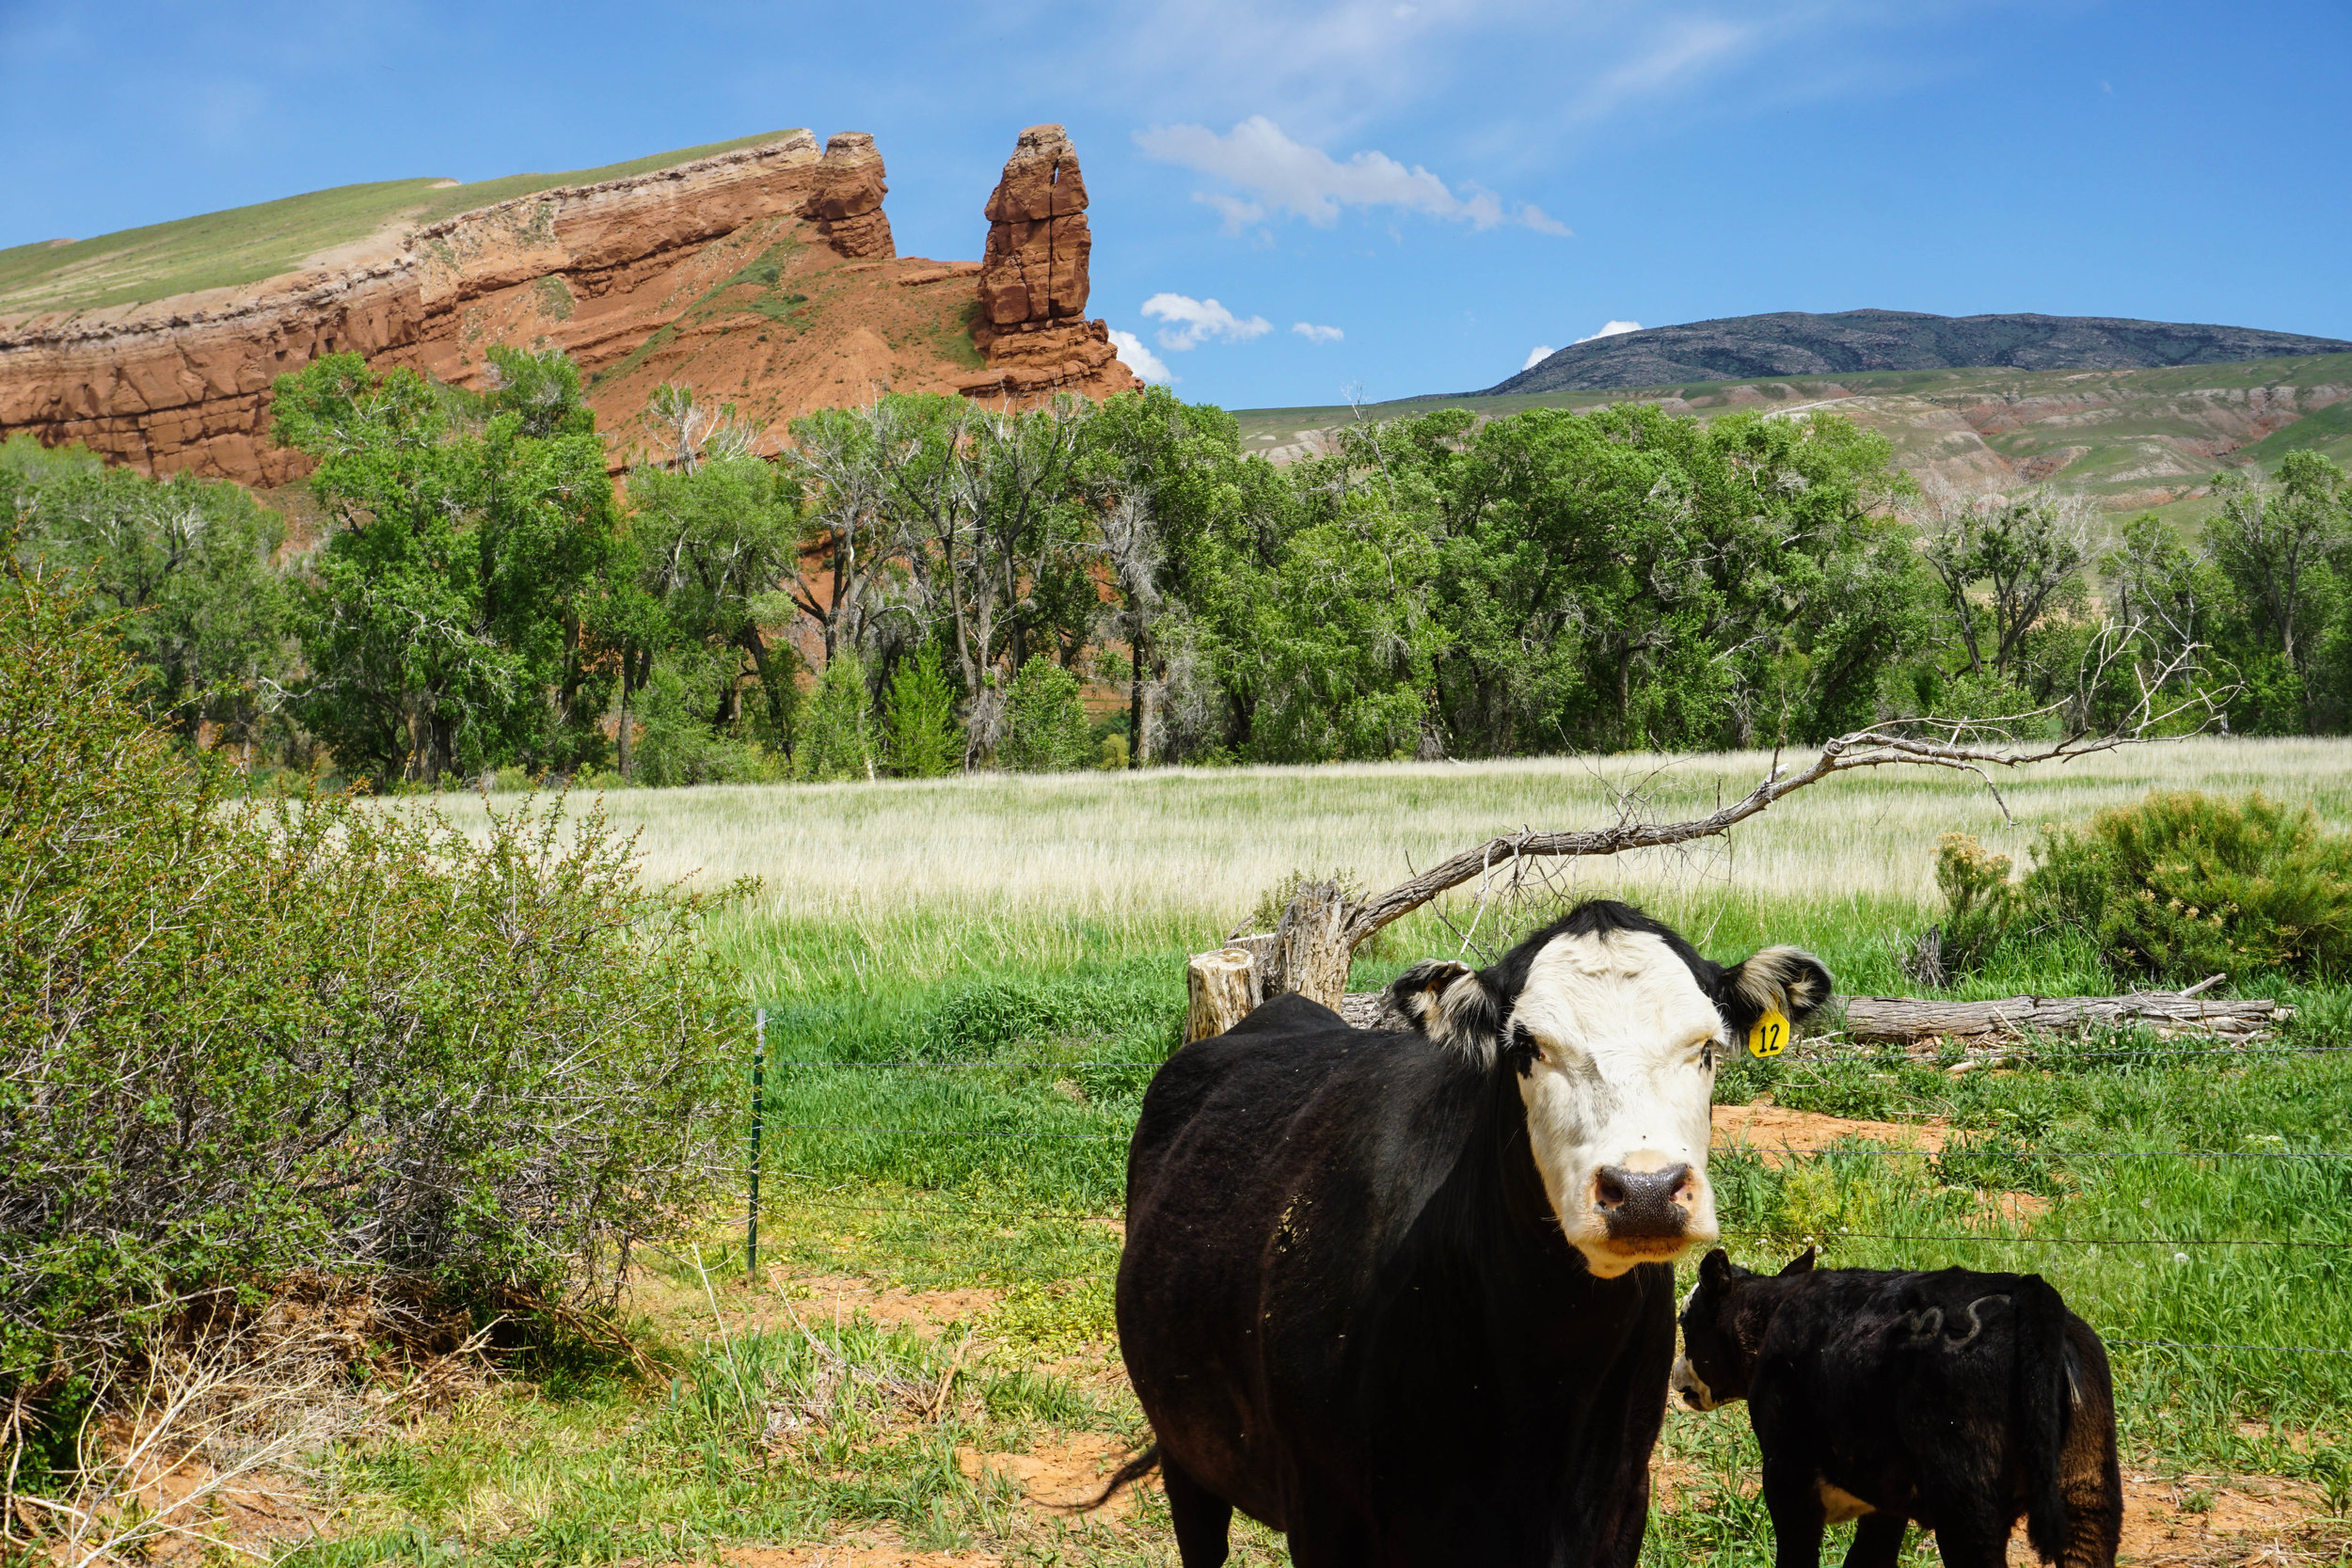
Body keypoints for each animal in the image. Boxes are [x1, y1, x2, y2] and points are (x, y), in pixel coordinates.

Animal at [1105, 902, 1835, 1560]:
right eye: (1526, 1046)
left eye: (1707, 1046)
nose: (1646, 1193)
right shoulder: (1325, 1515)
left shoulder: (1619, 1508)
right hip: (1185, 1446)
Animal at [1675, 1250, 2136, 1568]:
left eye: (1684, 1321)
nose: (1677, 1377)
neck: (1773, 1315)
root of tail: (2027, 1293)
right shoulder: (1885, 1499)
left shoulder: (1787, 1476)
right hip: (2090, 1499)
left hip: (1969, 1512)